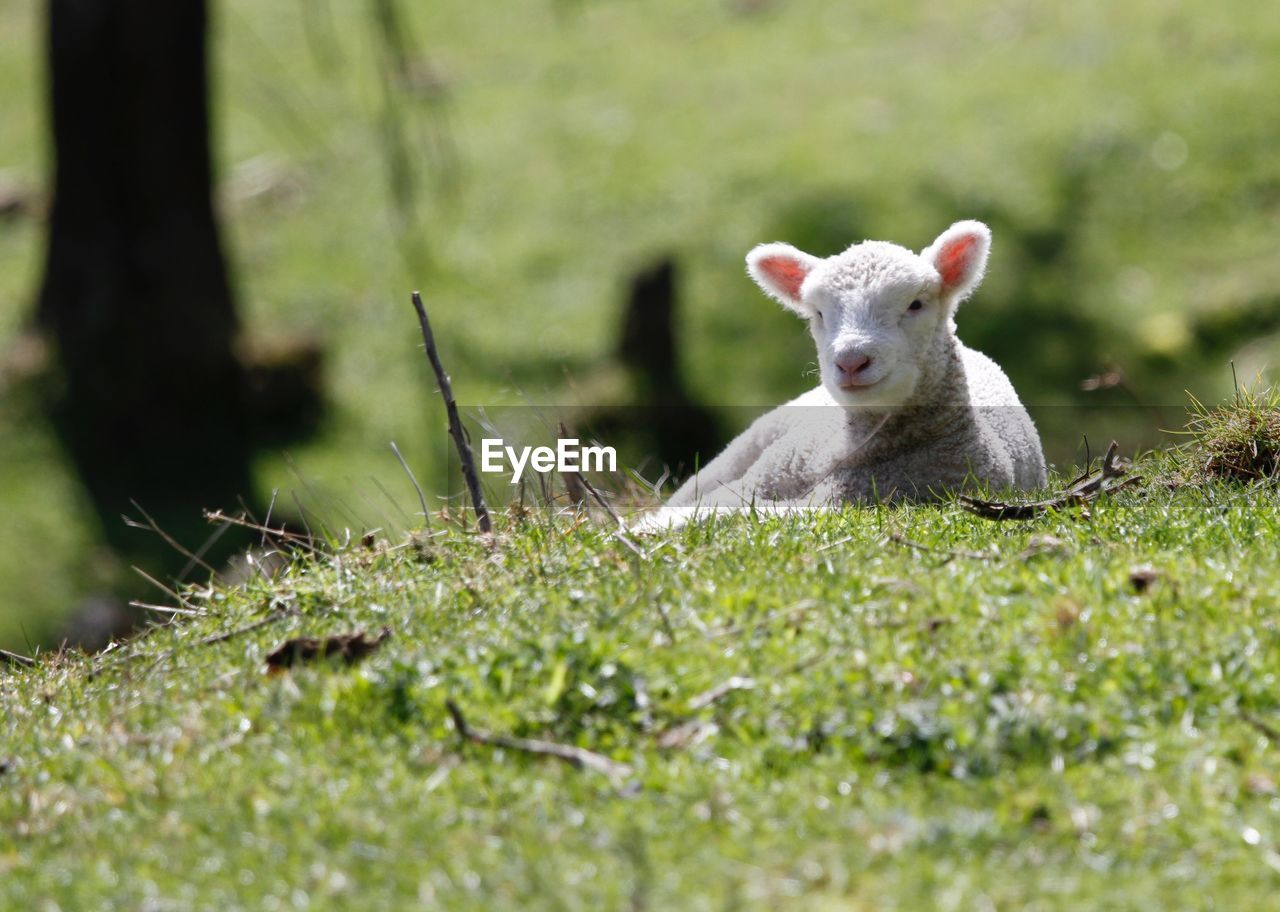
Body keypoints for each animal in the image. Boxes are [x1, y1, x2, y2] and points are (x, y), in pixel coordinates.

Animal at [634, 217, 1044, 527]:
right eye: (817, 313)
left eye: (916, 304)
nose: (850, 361)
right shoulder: (761, 479)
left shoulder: (852, 500)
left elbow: (723, 514)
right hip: (750, 445)